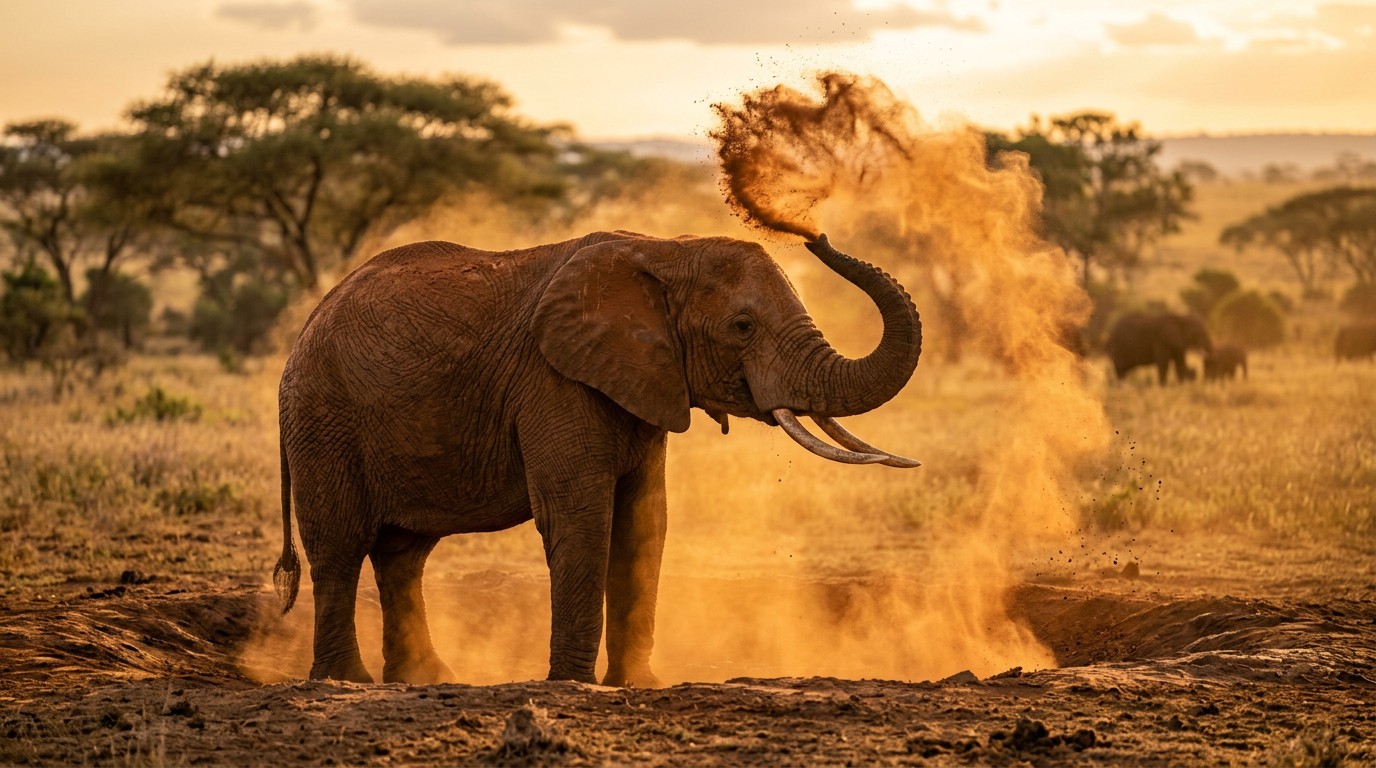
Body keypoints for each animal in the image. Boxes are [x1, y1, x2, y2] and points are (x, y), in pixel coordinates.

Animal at [273, 231, 922, 687]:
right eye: (742, 326)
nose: (817, 235)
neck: (664, 250)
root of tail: (304, 328)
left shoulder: (645, 381)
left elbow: (645, 521)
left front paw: (637, 684)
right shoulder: (554, 379)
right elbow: (581, 516)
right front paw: (572, 684)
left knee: (403, 554)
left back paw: (427, 679)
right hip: (323, 418)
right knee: (340, 546)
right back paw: (346, 682)